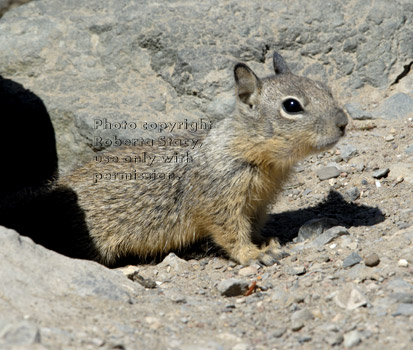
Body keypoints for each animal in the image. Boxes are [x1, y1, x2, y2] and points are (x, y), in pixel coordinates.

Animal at [58, 51, 346, 266]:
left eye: (326, 90)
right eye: (292, 106)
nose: (343, 122)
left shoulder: (259, 205)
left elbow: (253, 227)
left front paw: (263, 242)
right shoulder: (220, 202)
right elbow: (231, 234)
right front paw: (255, 254)